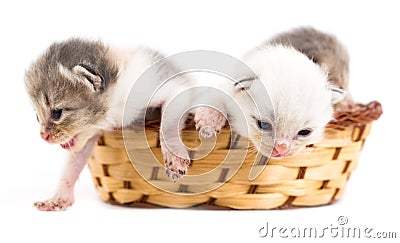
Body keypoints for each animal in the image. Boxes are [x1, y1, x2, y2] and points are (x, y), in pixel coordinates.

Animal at [195, 45, 344, 159]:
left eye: (304, 132)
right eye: (263, 124)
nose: (281, 148)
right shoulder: (224, 87)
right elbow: (215, 97)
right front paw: (209, 122)